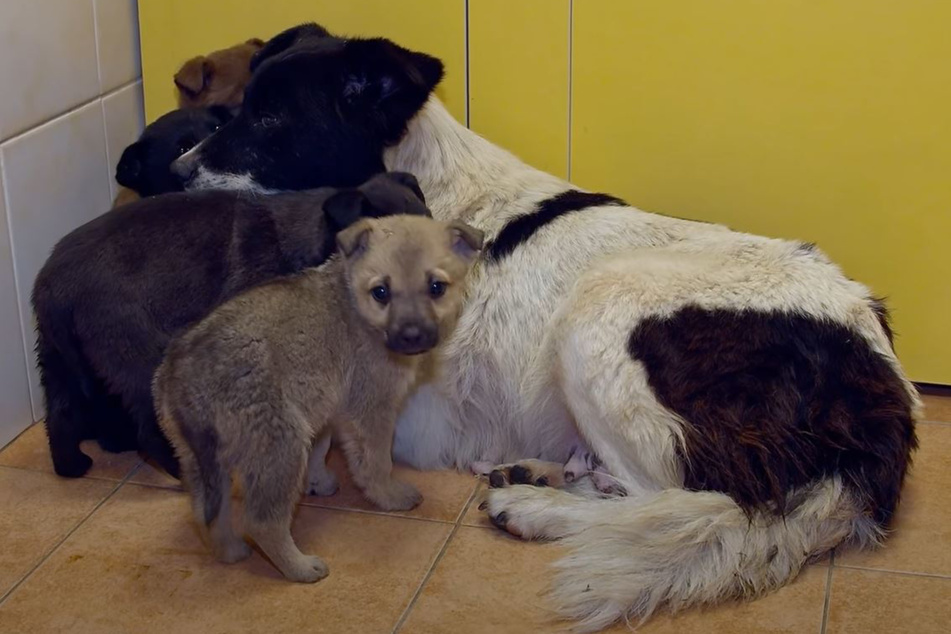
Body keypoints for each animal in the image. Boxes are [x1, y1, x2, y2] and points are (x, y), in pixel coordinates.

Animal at [31, 170, 428, 476]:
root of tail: (52, 286)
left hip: (57, 361)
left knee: (60, 415)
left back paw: (71, 465)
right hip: (138, 358)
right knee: (146, 428)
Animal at [157, 215, 488, 580]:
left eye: (436, 288)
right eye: (381, 292)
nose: (412, 336)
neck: (354, 304)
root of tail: (182, 374)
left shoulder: (327, 407)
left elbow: (321, 448)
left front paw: (320, 481)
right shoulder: (371, 411)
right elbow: (376, 463)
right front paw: (388, 495)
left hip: (200, 460)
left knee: (207, 512)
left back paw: (229, 551)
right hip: (280, 448)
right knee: (262, 522)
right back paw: (299, 567)